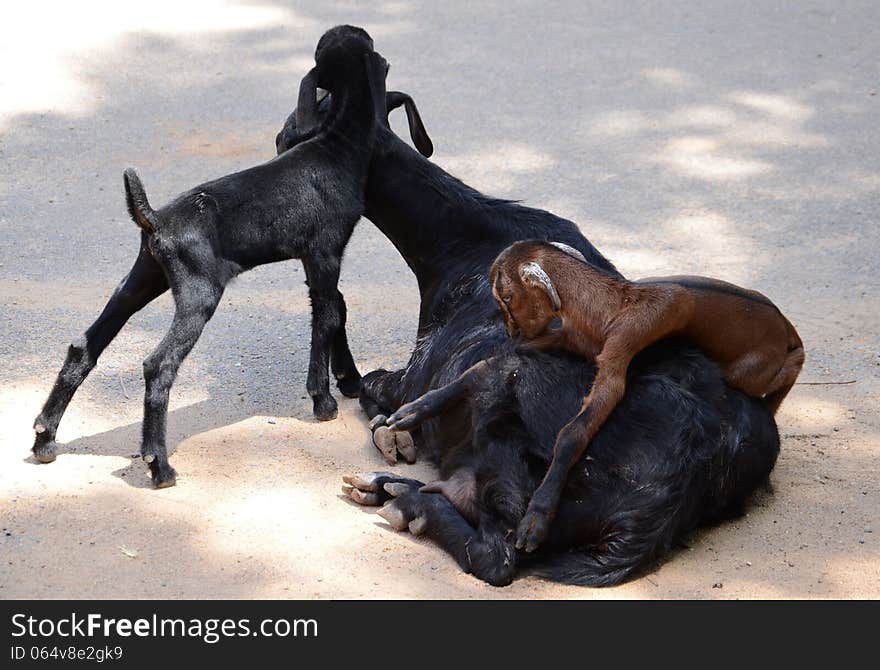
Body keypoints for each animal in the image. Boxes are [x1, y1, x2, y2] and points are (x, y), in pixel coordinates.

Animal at [34, 26, 384, 488]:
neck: (335, 146)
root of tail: (156, 220)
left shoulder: (313, 262)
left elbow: (336, 308)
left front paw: (348, 381)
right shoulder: (325, 252)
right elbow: (326, 317)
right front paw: (322, 400)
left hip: (141, 279)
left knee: (83, 347)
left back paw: (44, 438)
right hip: (199, 292)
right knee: (157, 365)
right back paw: (158, 465)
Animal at [278, 86, 780, 584]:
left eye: (304, 121)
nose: (279, 142)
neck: (455, 246)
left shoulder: (415, 373)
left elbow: (372, 386)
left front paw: (392, 433)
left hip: (510, 426)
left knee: (495, 553)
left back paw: (404, 499)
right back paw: (390, 487)